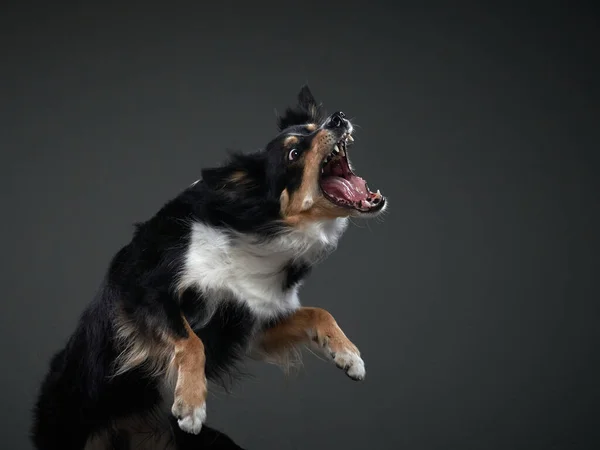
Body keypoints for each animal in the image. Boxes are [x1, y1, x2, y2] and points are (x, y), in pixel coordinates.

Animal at [32, 86, 386, 448]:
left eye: (316, 126)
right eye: (294, 153)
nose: (338, 118)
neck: (252, 228)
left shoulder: (253, 321)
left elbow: (318, 312)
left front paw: (349, 355)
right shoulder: (142, 290)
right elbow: (191, 341)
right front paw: (190, 405)